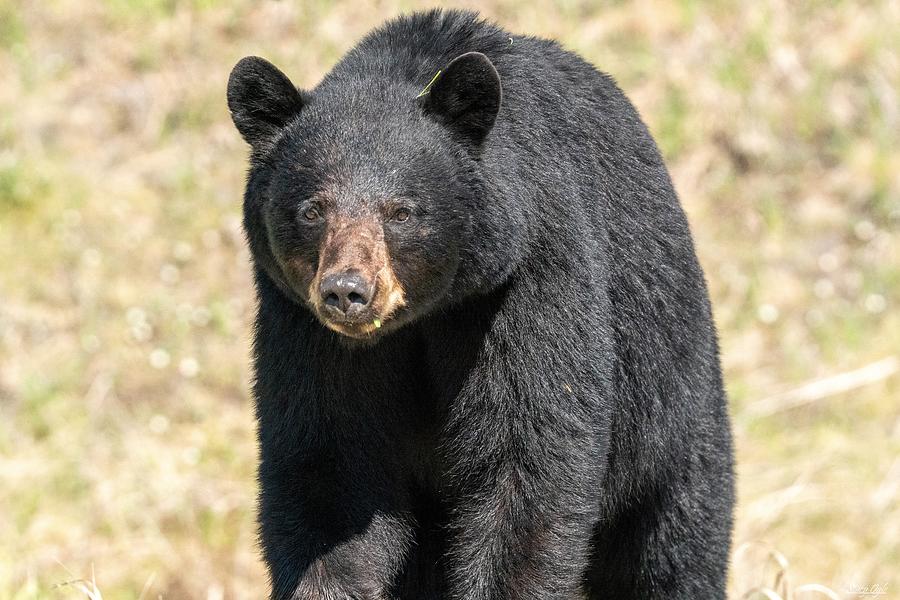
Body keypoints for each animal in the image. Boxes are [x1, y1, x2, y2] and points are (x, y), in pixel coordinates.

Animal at [227, 9, 732, 600]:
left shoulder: (528, 279)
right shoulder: (303, 329)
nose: (347, 291)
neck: (423, 317)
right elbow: (328, 465)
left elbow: (526, 463)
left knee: (671, 551)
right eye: (312, 210)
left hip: (669, 418)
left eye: (402, 211)